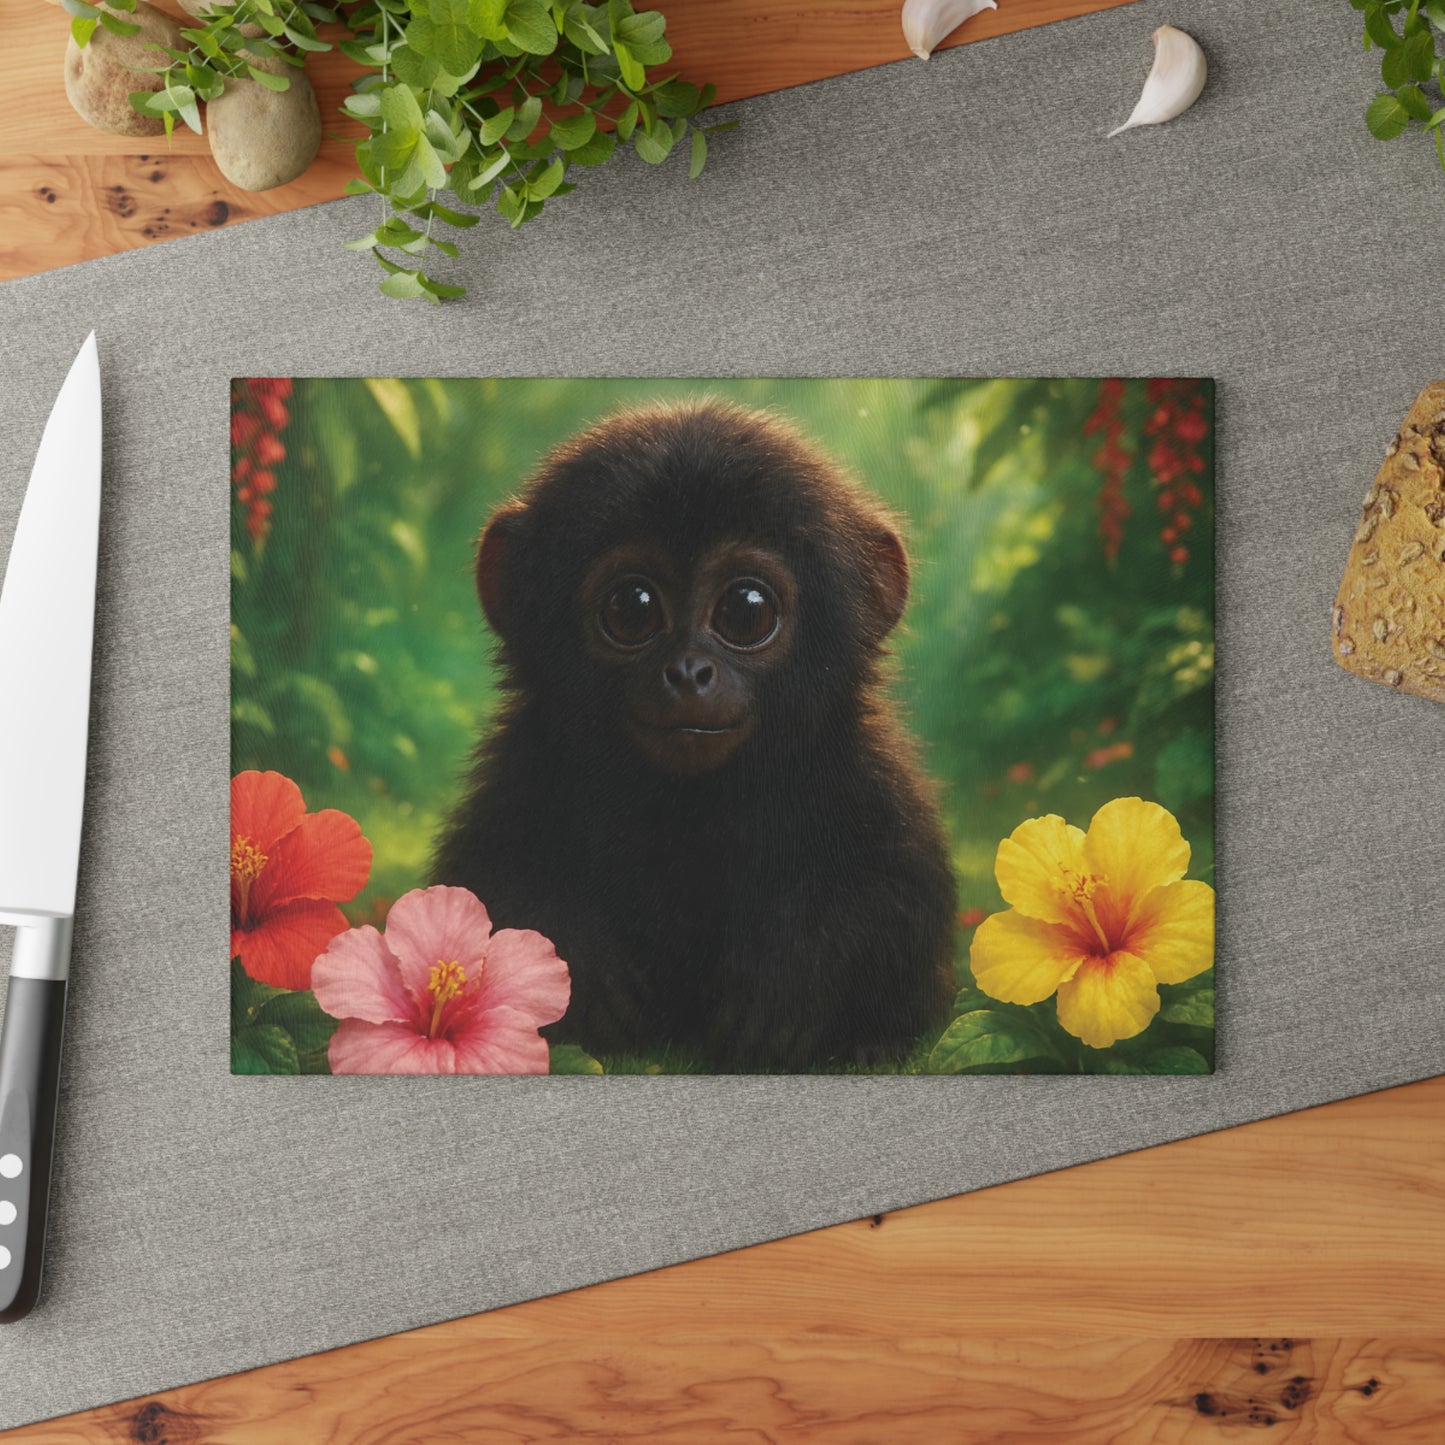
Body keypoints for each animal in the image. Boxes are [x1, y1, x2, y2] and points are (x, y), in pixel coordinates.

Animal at [430, 399, 956, 1071]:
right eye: (631, 607)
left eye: (746, 610)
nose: (687, 672)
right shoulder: (524, 769)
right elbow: (485, 885)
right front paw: (583, 966)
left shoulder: (866, 774)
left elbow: (898, 895)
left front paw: (791, 977)